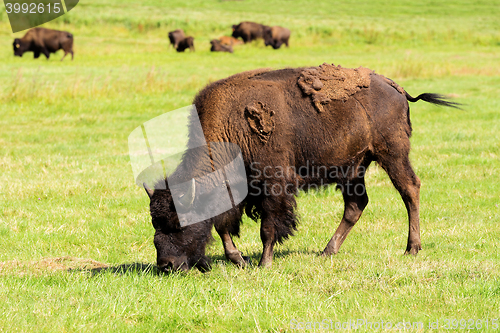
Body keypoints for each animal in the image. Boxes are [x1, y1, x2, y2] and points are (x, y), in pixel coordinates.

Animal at [144, 63, 458, 272]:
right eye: (155, 222)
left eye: (179, 223)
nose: (166, 265)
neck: (231, 127)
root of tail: (396, 88)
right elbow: (223, 225)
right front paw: (239, 259)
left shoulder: (273, 184)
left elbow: (268, 227)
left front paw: (264, 263)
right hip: (353, 168)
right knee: (356, 205)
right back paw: (327, 252)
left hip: (392, 153)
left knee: (409, 189)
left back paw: (411, 248)